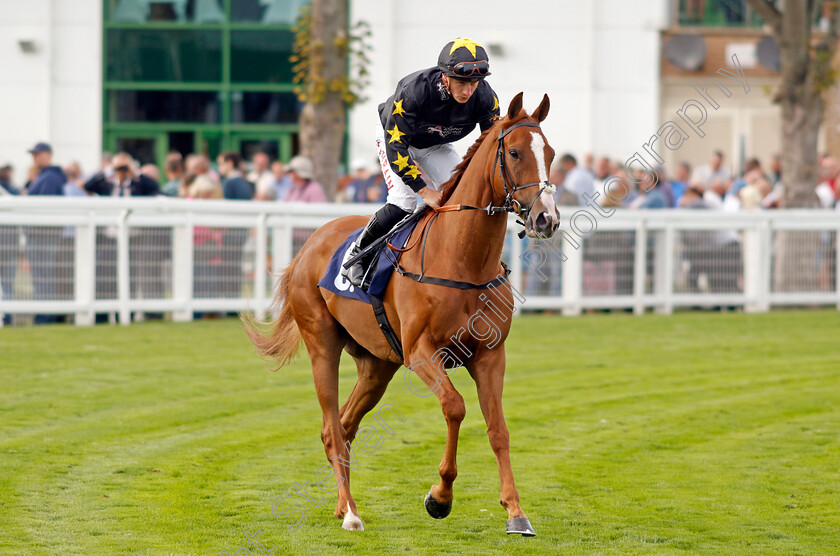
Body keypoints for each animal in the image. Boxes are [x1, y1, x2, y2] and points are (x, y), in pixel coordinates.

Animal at [243, 93, 556, 536]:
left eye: (551, 153)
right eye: (514, 152)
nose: (547, 217)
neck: (462, 258)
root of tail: (309, 244)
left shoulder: (491, 355)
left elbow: (498, 429)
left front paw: (515, 512)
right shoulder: (421, 352)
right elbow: (455, 407)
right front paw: (440, 497)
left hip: (377, 364)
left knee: (344, 425)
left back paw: (342, 505)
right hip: (322, 344)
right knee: (332, 428)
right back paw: (350, 512)